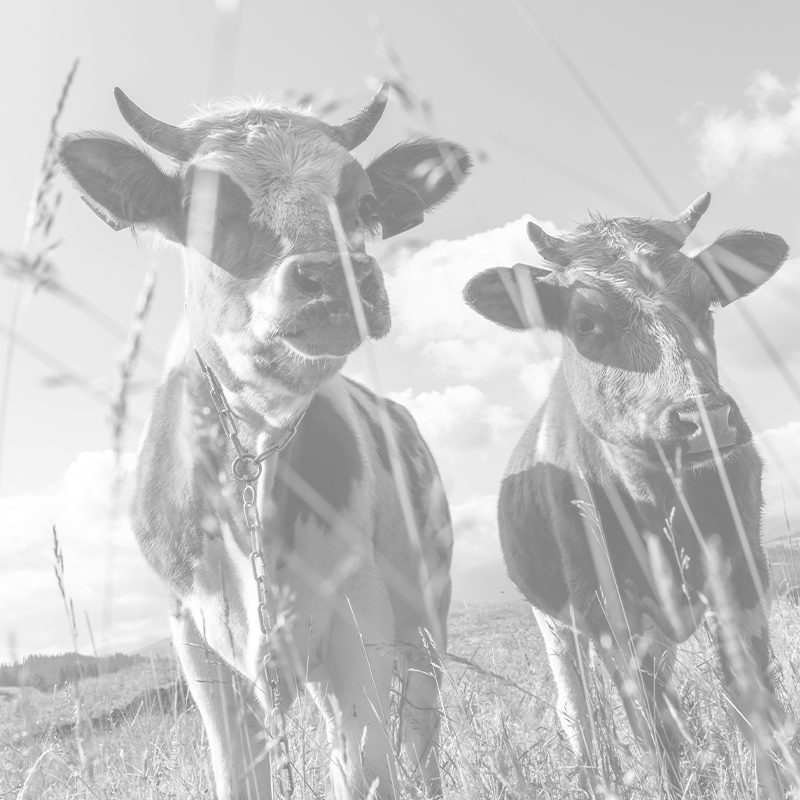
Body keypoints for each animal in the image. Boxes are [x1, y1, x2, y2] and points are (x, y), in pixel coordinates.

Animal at [59, 84, 471, 800]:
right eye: (205, 207)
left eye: (364, 203)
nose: (335, 278)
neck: (248, 461)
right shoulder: (192, 634)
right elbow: (239, 774)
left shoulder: (359, 610)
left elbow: (367, 771)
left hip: (426, 613)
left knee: (417, 734)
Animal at [463, 196, 791, 797]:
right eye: (585, 322)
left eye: (705, 301)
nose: (705, 418)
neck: (657, 498)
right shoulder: (603, 605)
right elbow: (650, 732)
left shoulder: (742, 569)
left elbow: (753, 703)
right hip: (552, 622)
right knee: (579, 710)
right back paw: (598, 775)